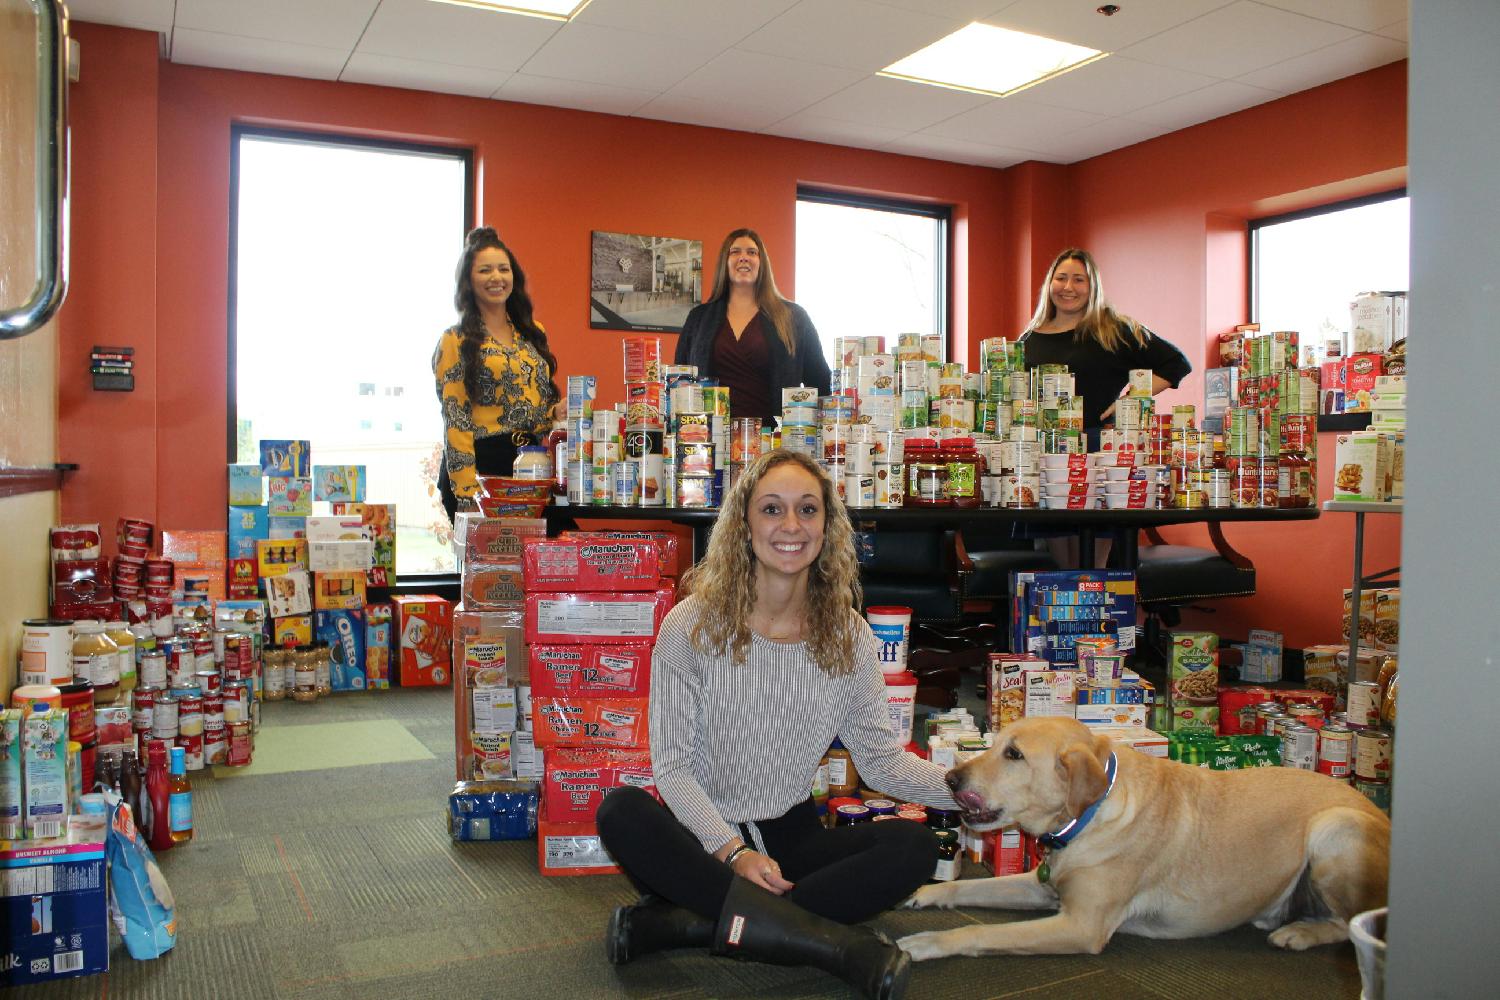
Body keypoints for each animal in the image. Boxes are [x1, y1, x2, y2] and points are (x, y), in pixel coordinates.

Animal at [894, 716, 1386, 959]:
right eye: (994, 743)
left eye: (1014, 754)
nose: (951, 779)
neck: (1086, 818)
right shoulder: (1042, 887)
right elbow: (967, 887)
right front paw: (924, 893)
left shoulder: (1081, 926)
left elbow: (977, 932)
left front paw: (927, 943)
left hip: (1334, 828)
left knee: (1348, 923)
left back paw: (1298, 933)